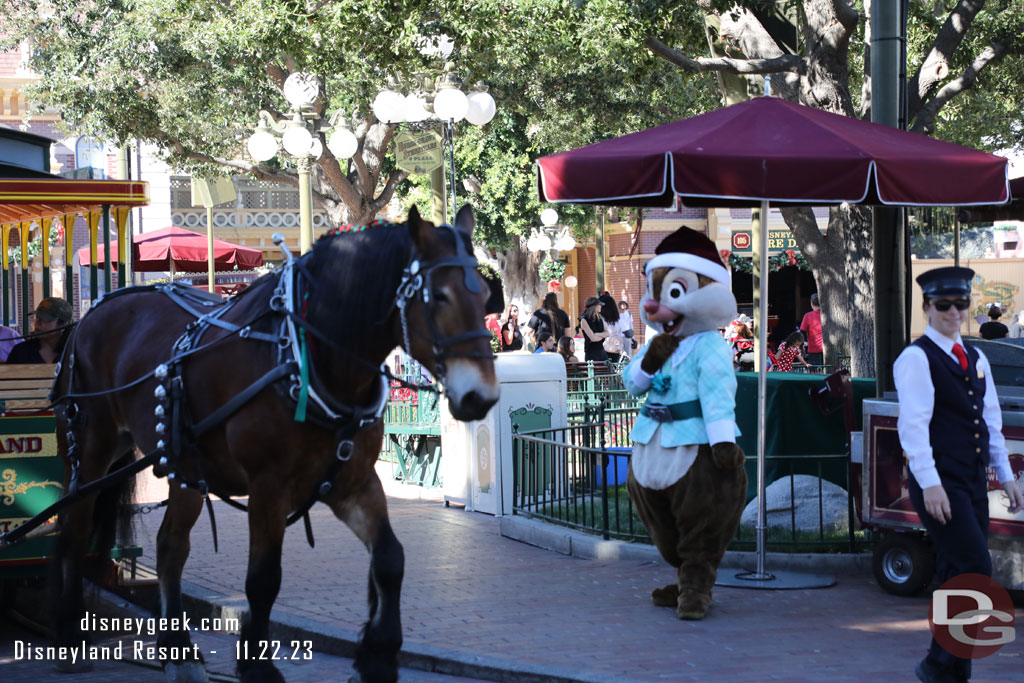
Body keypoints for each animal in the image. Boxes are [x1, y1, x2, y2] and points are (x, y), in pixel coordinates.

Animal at [51, 205, 499, 679]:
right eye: (439, 297)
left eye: (486, 295)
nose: (481, 396)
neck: (307, 357)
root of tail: (88, 317)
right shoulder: (268, 487)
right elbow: (263, 579)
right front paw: (257, 665)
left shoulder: (353, 483)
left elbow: (390, 559)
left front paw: (377, 657)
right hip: (91, 452)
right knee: (74, 530)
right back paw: (68, 636)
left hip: (184, 468)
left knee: (171, 546)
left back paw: (179, 650)